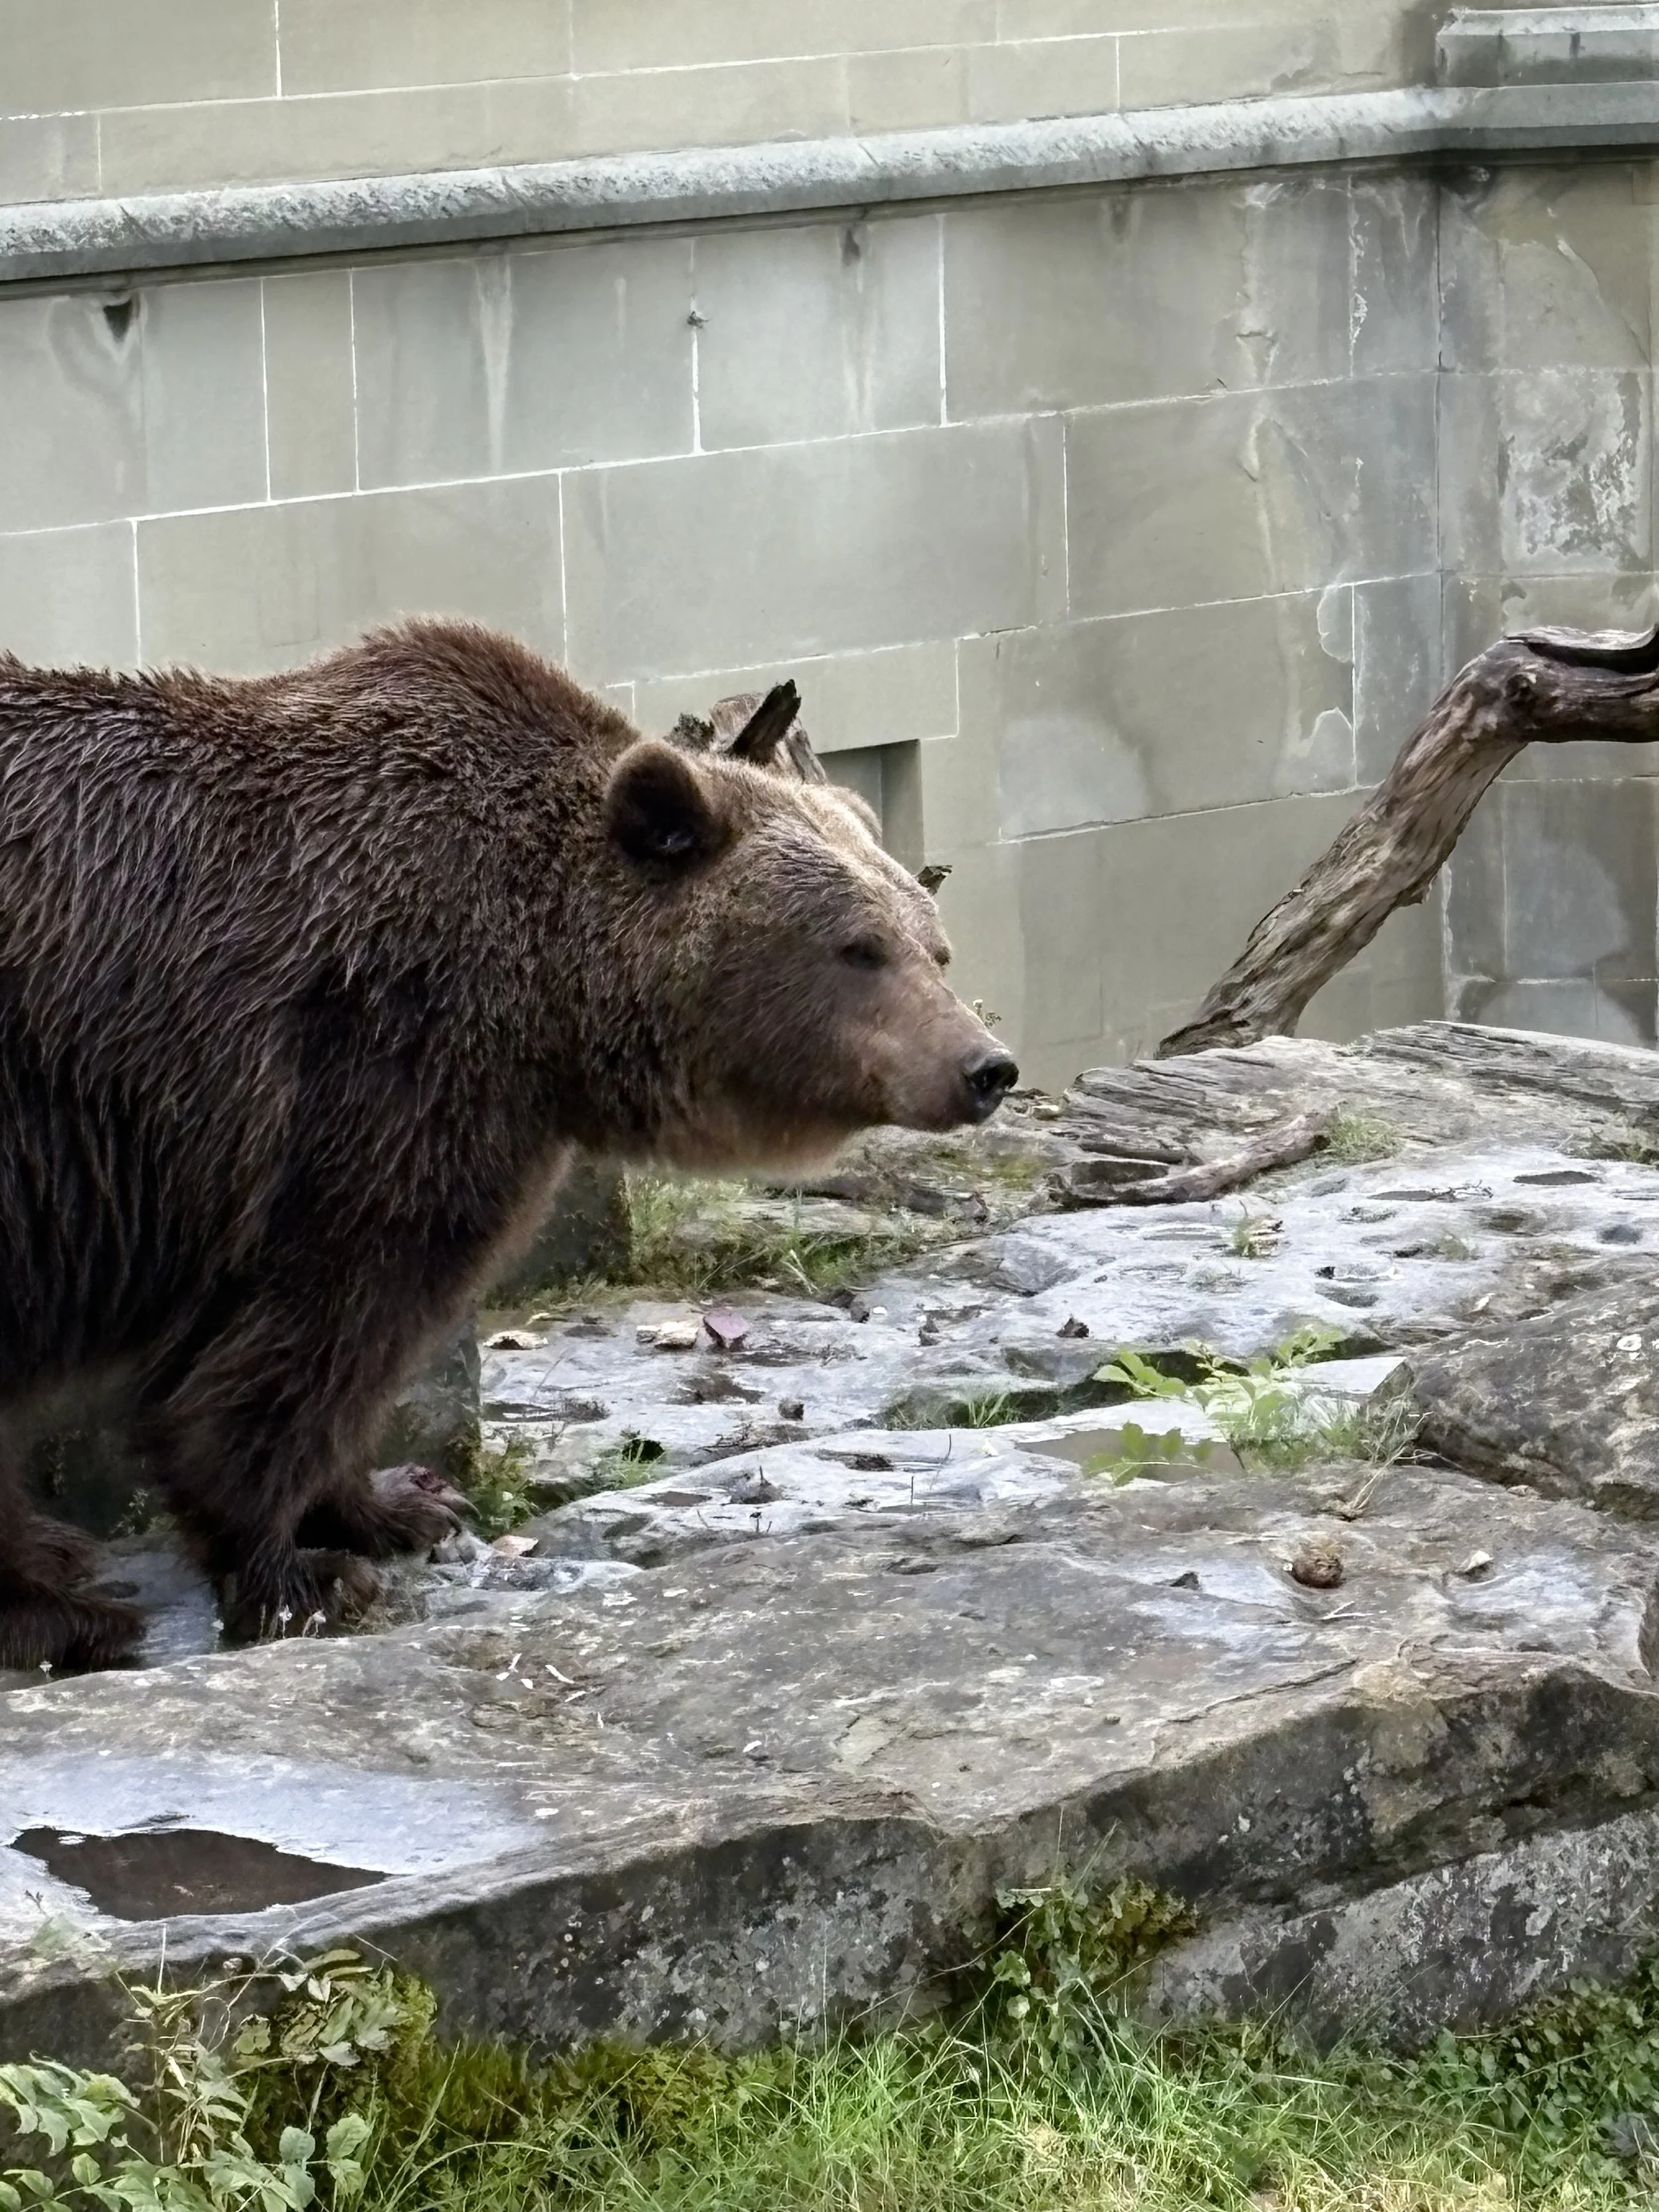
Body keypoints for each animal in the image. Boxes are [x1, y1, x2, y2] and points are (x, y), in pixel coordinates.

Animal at [0, 620, 1016, 1672]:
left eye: (932, 943)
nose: (985, 1066)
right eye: (858, 948)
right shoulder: (382, 1071)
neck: (546, 991)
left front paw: (399, 1503)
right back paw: (59, 1605)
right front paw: (301, 1572)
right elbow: (328, 1320)